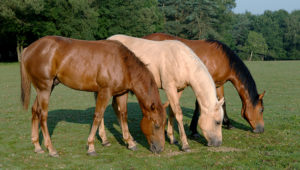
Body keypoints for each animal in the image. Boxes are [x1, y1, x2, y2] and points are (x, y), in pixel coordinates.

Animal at [21, 35, 166, 157]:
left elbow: (123, 115)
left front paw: (130, 143)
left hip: (46, 88)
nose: (160, 149)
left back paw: (37, 146)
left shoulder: (121, 93)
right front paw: (91, 147)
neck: (122, 63)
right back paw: (51, 149)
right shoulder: (104, 92)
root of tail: (29, 49)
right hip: (44, 88)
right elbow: (98, 116)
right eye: (156, 125)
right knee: (43, 116)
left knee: (35, 111)